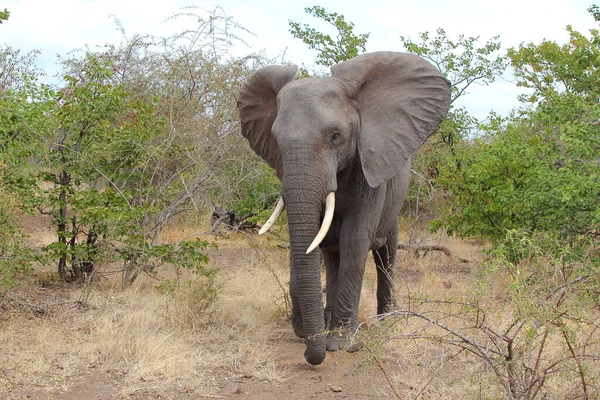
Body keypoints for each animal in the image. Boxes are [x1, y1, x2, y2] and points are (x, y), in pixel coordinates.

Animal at [237, 50, 448, 366]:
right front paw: (318, 333)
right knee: (332, 256)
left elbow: (355, 239)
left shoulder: (369, 172)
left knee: (386, 256)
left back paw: (386, 322)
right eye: (276, 140)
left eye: (335, 136)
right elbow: (314, 242)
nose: (309, 351)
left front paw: (340, 344)